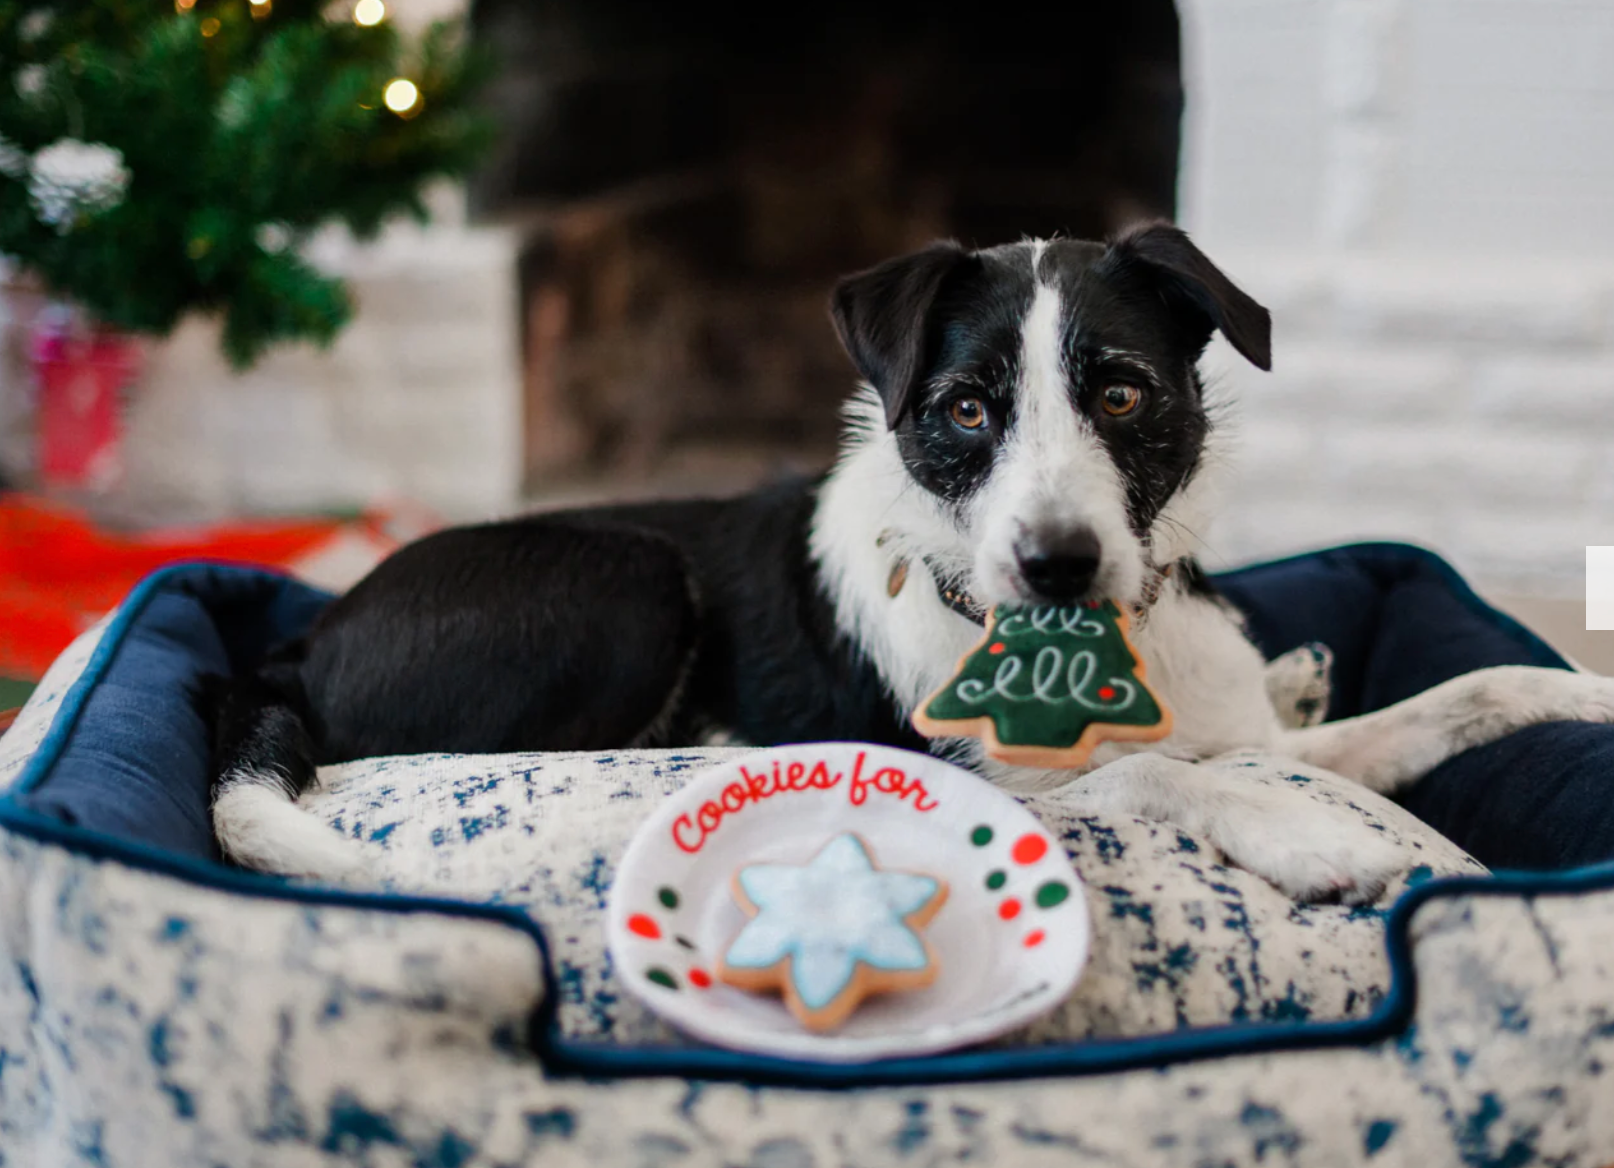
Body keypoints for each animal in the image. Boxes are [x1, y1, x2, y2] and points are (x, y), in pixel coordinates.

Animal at [208, 225, 1614, 903]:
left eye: (1121, 391)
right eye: (965, 409)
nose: (1057, 564)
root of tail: (300, 641)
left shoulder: (1252, 725)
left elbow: (1450, 696)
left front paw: (1578, 690)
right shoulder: (1011, 781)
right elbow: (1162, 776)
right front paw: (1309, 842)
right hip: (623, 578)